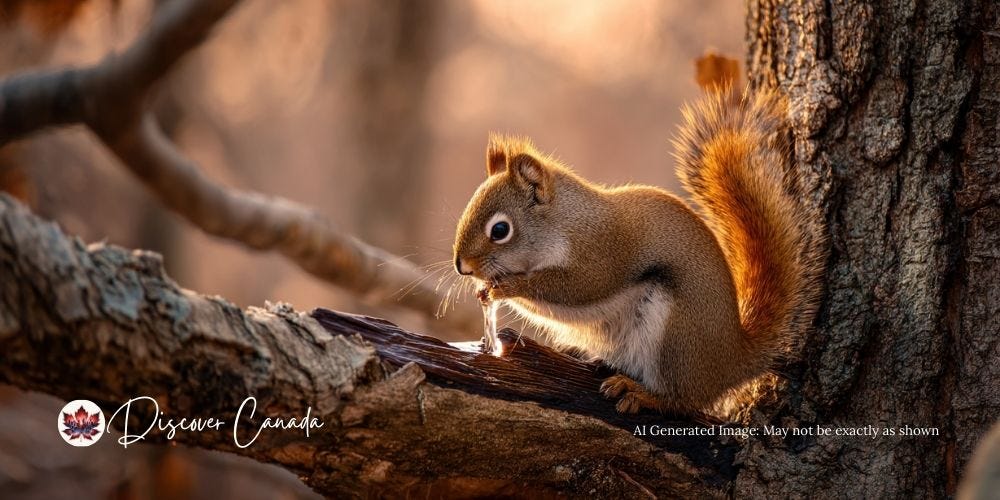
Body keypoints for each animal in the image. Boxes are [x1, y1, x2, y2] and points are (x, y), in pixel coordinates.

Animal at [452, 87, 824, 416]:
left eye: (500, 230)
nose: (462, 267)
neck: (564, 222)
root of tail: (732, 360)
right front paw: (483, 289)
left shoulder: (602, 252)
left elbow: (574, 287)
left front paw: (503, 287)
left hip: (675, 337)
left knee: (683, 402)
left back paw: (641, 394)